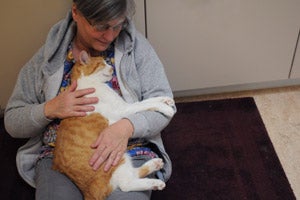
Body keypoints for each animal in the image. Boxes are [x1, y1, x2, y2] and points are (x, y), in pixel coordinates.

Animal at [52, 50, 176, 200]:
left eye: (106, 62)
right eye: (101, 64)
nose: (111, 68)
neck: (89, 84)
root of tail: (88, 191)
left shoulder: (125, 106)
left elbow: (147, 100)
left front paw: (166, 100)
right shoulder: (123, 109)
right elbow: (144, 104)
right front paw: (166, 109)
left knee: (130, 177)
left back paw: (155, 164)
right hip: (117, 158)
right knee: (126, 184)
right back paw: (156, 182)